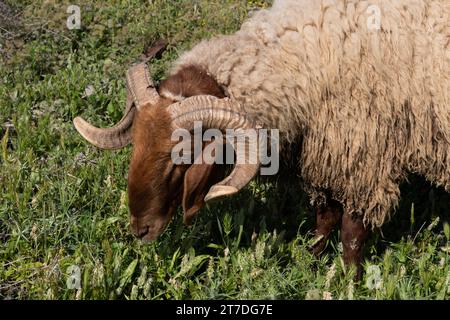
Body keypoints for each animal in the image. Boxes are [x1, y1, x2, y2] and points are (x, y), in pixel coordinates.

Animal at [74, 0, 450, 276]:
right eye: (136, 144)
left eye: (179, 160)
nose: (140, 230)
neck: (303, 56)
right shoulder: (322, 153)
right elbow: (325, 215)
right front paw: (311, 261)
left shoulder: (363, 157)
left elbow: (352, 234)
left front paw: (347, 281)